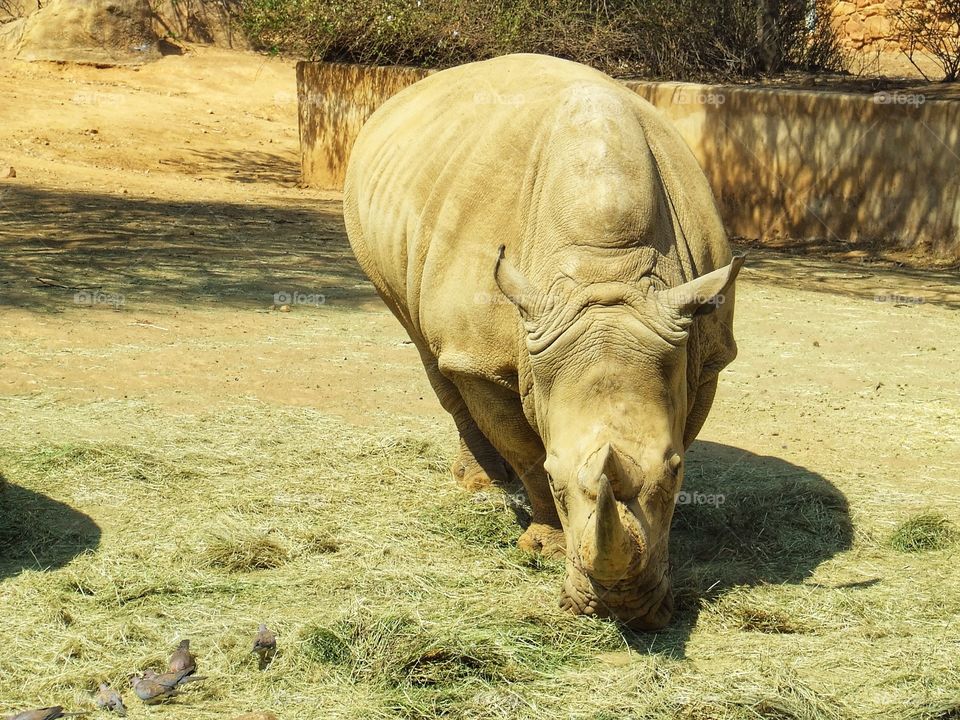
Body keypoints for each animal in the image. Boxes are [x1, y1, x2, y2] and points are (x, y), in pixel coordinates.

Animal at [343, 54, 743, 629]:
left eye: (676, 475)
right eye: (556, 479)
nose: (619, 609)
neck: (605, 274)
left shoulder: (703, 350)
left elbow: (680, 428)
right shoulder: (483, 356)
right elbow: (525, 447)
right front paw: (546, 547)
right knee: (430, 352)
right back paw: (481, 485)